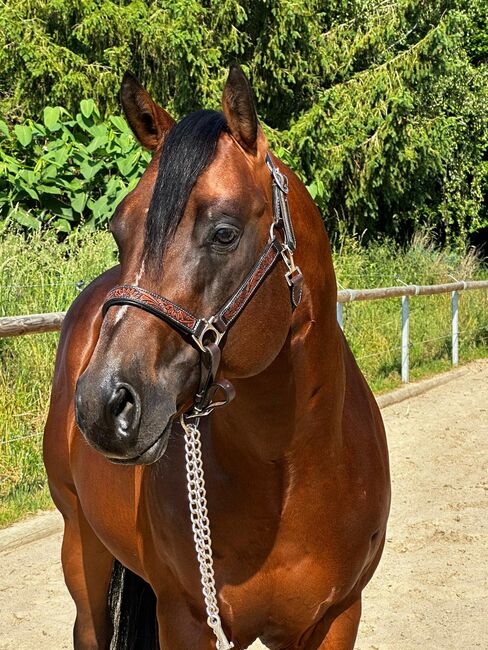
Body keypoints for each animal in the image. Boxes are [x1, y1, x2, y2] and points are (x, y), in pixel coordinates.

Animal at [43, 62, 390, 648]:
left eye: (224, 233)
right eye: (119, 230)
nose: (101, 406)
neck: (291, 473)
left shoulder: (339, 616)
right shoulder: (187, 619)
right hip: (80, 548)